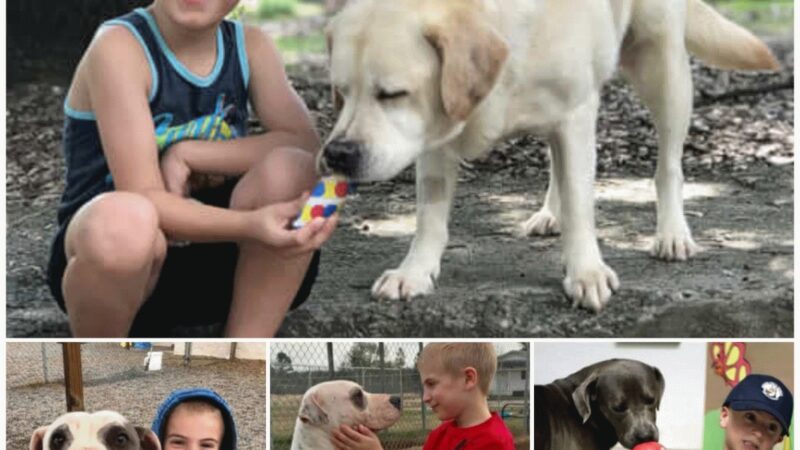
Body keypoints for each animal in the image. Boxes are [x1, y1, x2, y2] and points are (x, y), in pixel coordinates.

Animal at [318, 0, 776, 312]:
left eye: (392, 94)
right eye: (340, 92)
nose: (337, 153)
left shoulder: (575, 114)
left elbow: (580, 204)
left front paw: (586, 272)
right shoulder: (435, 132)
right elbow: (429, 218)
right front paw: (414, 271)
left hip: (661, 66)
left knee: (668, 166)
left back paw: (672, 233)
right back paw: (550, 213)